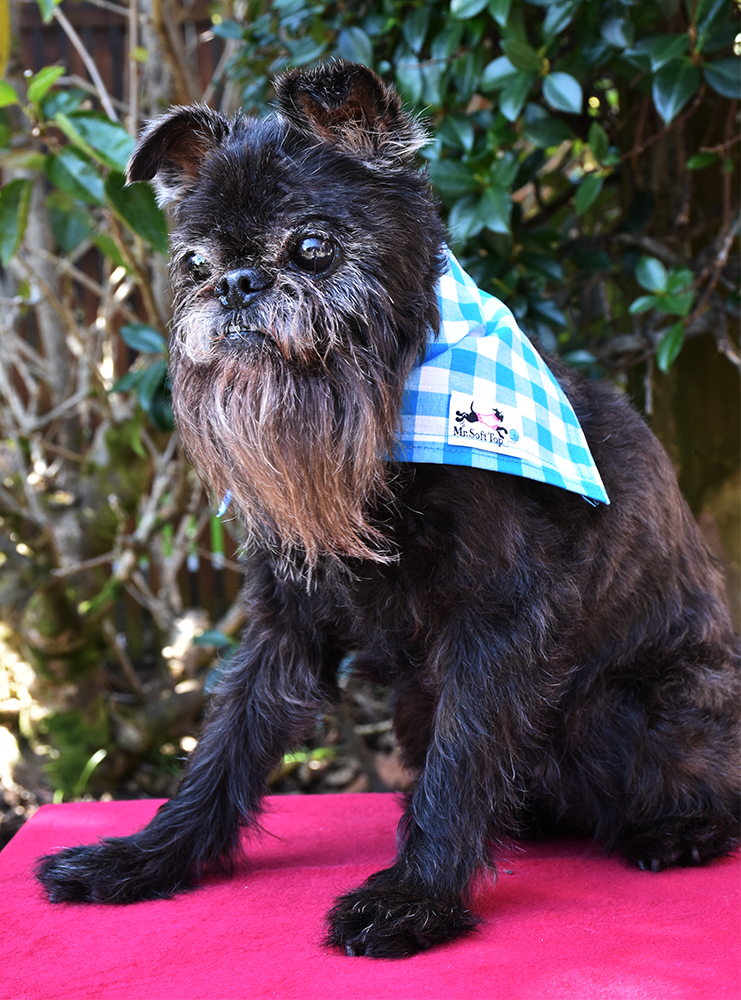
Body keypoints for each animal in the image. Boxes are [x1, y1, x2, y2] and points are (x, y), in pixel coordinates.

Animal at [37, 64, 740, 960]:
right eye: (195, 263)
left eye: (311, 247)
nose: (234, 285)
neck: (381, 433)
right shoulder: (286, 623)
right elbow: (226, 744)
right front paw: (146, 856)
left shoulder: (496, 623)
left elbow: (461, 760)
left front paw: (413, 898)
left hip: (613, 707)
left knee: (701, 788)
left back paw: (676, 831)